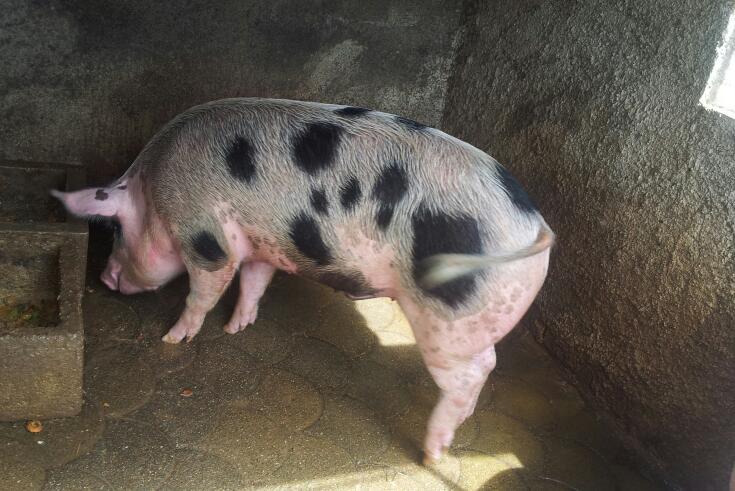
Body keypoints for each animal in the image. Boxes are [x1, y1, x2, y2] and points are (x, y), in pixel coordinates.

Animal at [52, 98, 554, 464]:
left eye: (117, 230)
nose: (104, 277)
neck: (154, 190)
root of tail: (535, 226)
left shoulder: (204, 236)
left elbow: (205, 289)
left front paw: (174, 338)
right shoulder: (261, 243)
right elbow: (254, 282)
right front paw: (237, 328)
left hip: (447, 319)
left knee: (470, 373)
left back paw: (433, 454)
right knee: (486, 363)